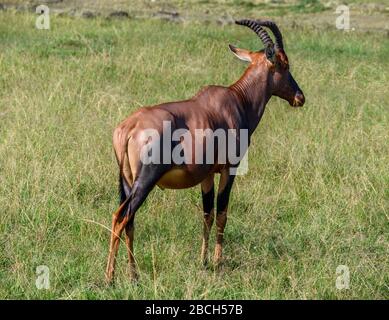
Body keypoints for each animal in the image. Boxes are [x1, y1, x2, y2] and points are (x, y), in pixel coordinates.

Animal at [105, 19, 304, 282]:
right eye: (284, 63)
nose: (299, 97)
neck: (236, 100)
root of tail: (128, 127)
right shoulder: (229, 169)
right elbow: (222, 212)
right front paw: (218, 261)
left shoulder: (206, 174)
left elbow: (207, 214)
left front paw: (204, 260)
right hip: (145, 180)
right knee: (121, 217)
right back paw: (109, 277)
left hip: (127, 181)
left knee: (130, 221)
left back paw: (134, 274)